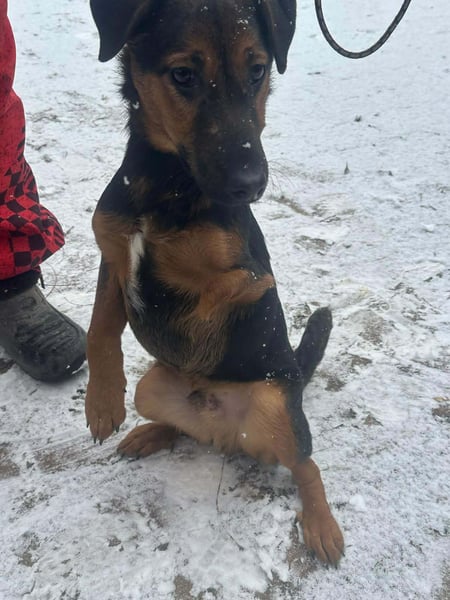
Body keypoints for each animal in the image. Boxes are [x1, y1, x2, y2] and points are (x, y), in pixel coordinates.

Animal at [86, 0, 344, 565]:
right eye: (183, 75)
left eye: (258, 71)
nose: (252, 185)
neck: (166, 184)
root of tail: (228, 433)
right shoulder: (112, 256)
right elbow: (100, 329)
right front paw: (101, 402)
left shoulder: (246, 273)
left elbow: (213, 294)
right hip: (154, 388)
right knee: (185, 429)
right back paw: (153, 433)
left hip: (275, 403)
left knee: (307, 464)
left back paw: (321, 525)